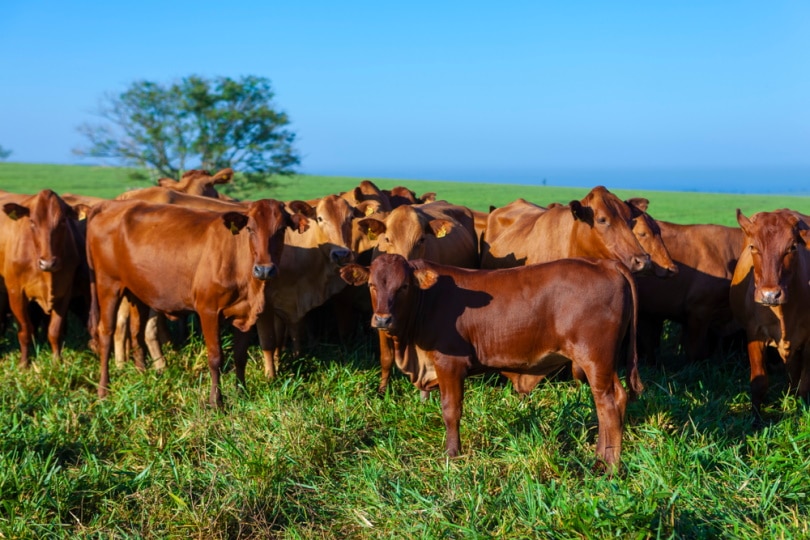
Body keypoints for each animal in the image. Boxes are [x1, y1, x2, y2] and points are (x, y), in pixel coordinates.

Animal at [0, 190, 88, 368]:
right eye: (32, 222)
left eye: (63, 221)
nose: (48, 263)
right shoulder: (15, 293)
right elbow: (25, 330)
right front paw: (24, 363)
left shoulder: (64, 293)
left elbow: (54, 330)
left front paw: (57, 361)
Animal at [85, 197, 306, 404]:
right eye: (250, 229)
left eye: (281, 229)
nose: (265, 270)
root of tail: (109, 204)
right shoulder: (208, 310)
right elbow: (216, 357)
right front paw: (216, 402)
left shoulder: (244, 313)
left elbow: (240, 356)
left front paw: (241, 393)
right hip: (108, 284)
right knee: (106, 333)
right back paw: (103, 390)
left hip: (136, 290)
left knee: (136, 332)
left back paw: (142, 374)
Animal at [340, 253, 636, 468]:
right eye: (371, 285)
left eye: (403, 287)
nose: (382, 320)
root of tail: (604, 262)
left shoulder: (450, 364)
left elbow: (451, 411)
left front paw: (452, 453)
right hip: (603, 363)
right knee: (613, 400)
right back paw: (600, 456)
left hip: (594, 358)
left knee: (608, 405)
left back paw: (608, 465)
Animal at [724, 209, 808, 420]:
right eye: (753, 247)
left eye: (792, 247)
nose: (770, 294)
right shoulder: (755, 333)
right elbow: (759, 383)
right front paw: (756, 419)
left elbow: (805, 382)